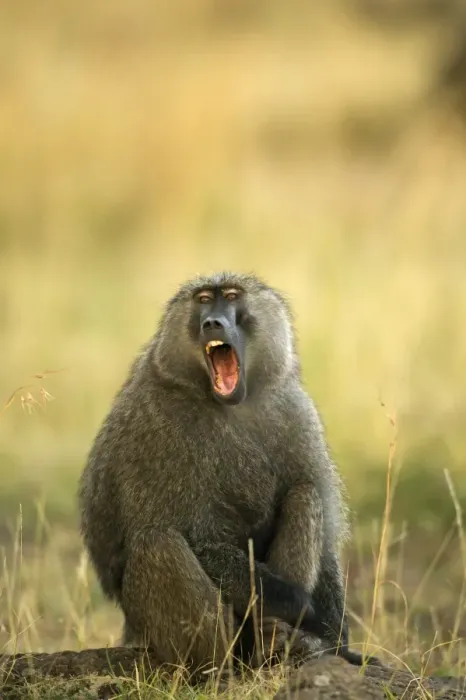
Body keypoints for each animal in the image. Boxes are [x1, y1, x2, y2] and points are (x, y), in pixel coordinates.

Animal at [78, 271, 380, 676]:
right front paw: (304, 608)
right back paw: (215, 667)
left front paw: (336, 642)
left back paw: (277, 643)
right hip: (153, 628)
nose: (212, 323)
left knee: (305, 495)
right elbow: (199, 538)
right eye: (204, 299)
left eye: (232, 296)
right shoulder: (155, 427)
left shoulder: (295, 411)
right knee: (157, 541)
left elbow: (326, 535)